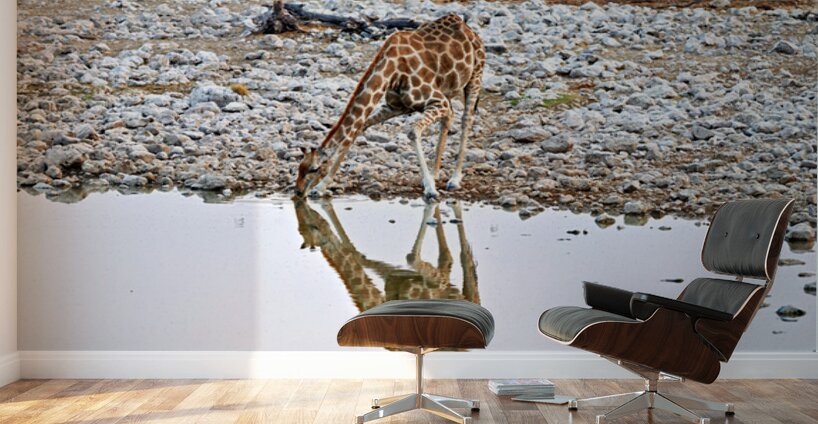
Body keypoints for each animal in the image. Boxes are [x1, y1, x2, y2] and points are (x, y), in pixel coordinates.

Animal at [295, 14, 485, 200]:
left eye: (314, 169)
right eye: (299, 167)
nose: (298, 192)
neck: (392, 72)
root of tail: (468, 29)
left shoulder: (437, 101)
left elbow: (413, 132)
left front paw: (430, 189)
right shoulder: (395, 106)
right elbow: (358, 129)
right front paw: (320, 188)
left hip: (475, 75)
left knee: (466, 119)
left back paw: (454, 180)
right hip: (447, 90)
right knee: (449, 116)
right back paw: (435, 174)